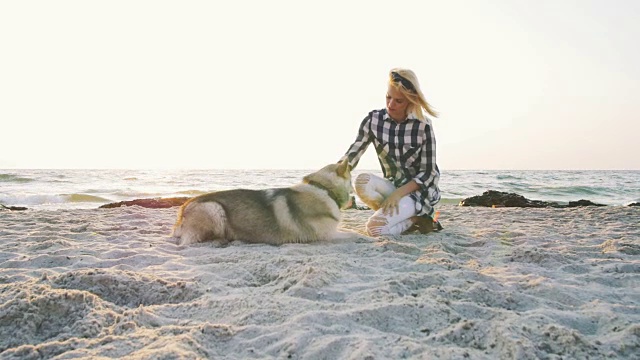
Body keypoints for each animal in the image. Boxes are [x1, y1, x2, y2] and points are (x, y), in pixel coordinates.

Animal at [172, 162, 358, 246]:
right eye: (351, 179)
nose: (355, 193)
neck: (323, 188)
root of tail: (183, 207)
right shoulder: (327, 235)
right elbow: (356, 235)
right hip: (214, 208)